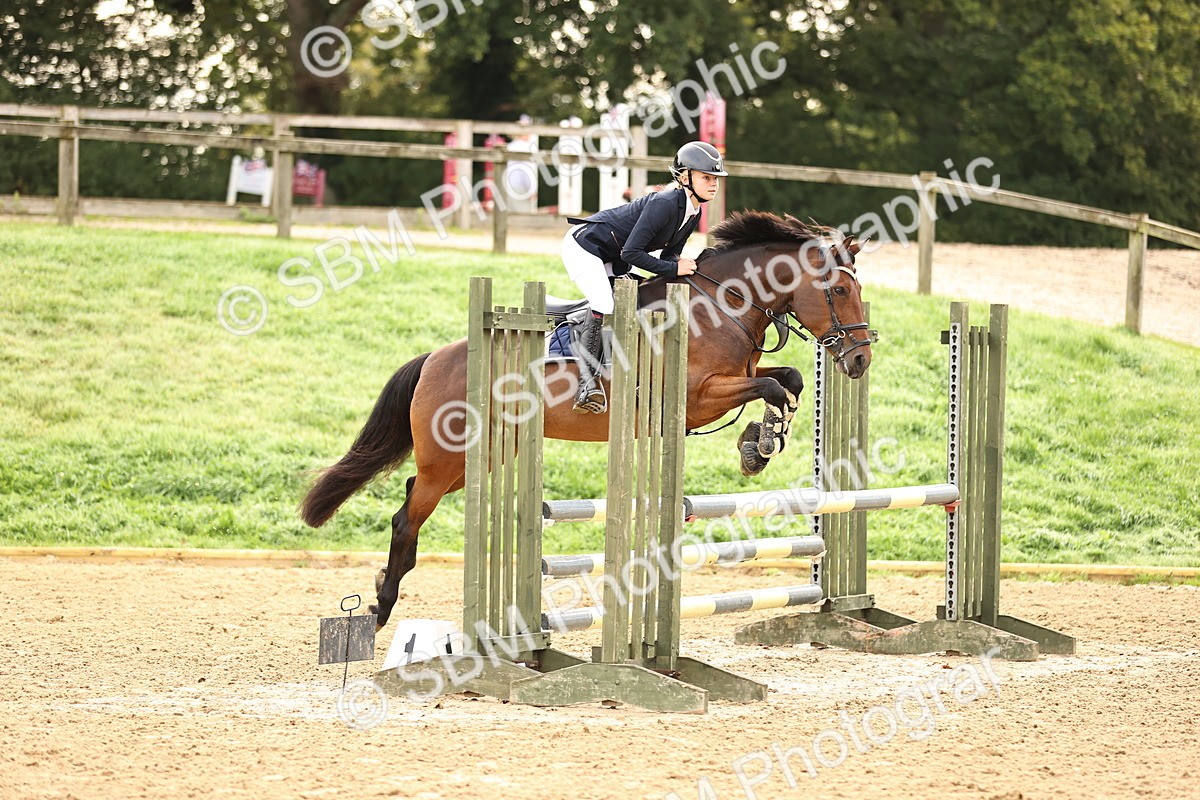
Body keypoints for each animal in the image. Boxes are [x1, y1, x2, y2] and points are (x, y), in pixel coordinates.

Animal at [300, 211, 874, 628]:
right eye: (839, 291)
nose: (861, 359)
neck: (721, 304)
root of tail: (433, 359)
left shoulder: (738, 377)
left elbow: (789, 379)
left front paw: (759, 442)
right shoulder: (698, 396)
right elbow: (775, 386)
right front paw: (762, 443)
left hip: (478, 459)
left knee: (412, 495)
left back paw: (385, 592)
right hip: (451, 458)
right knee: (406, 518)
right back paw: (380, 610)